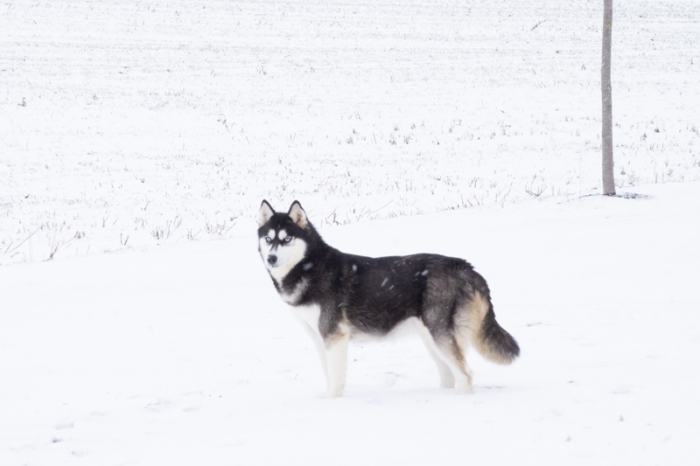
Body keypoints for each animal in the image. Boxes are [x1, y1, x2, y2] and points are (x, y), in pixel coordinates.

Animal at [258, 200, 519, 397]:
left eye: (287, 239)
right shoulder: (319, 338)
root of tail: (466, 267)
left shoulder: (334, 336)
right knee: (450, 376)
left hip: (440, 334)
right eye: (268, 239)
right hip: (432, 338)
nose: (271, 258)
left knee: (465, 375)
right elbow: (329, 375)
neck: (309, 267)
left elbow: (336, 381)